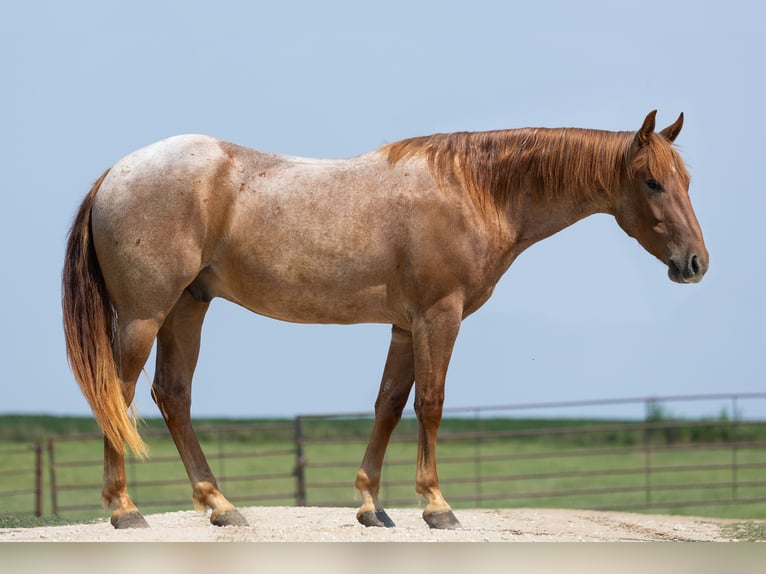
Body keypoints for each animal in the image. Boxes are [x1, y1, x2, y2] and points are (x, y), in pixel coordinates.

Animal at [62, 110, 708, 530]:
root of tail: (116, 174)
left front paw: (371, 504)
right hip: (145, 315)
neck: (472, 191)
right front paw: (436, 505)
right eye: (652, 181)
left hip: (188, 307)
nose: (696, 263)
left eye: (686, 180)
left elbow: (389, 404)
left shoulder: (404, 325)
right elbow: (431, 403)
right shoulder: (438, 315)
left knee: (172, 395)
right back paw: (125, 510)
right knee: (119, 395)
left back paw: (220, 505)